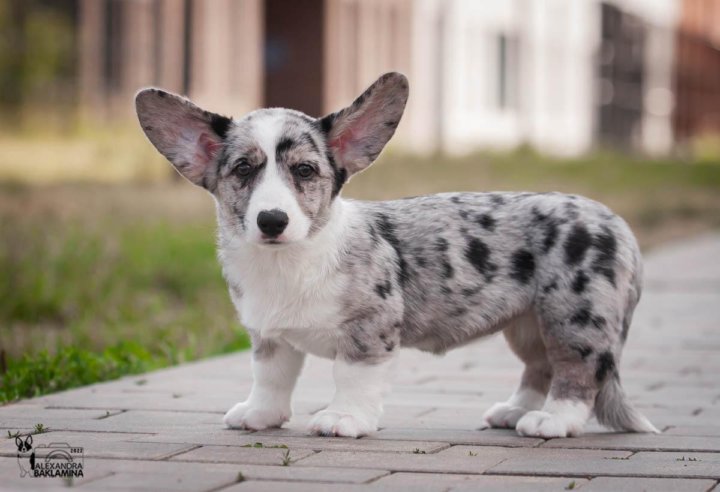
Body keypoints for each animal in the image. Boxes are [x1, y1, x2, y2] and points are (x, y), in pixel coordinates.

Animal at [135, 72, 658, 439]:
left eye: (304, 171)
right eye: (243, 169)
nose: (272, 221)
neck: (290, 262)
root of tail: (618, 224)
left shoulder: (370, 329)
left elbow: (352, 376)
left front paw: (343, 419)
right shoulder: (269, 336)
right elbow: (271, 377)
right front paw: (260, 415)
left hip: (573, 317)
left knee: (577, 371)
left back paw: (552, 421)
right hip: (527, 323)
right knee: (541, 365)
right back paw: (515, 411)